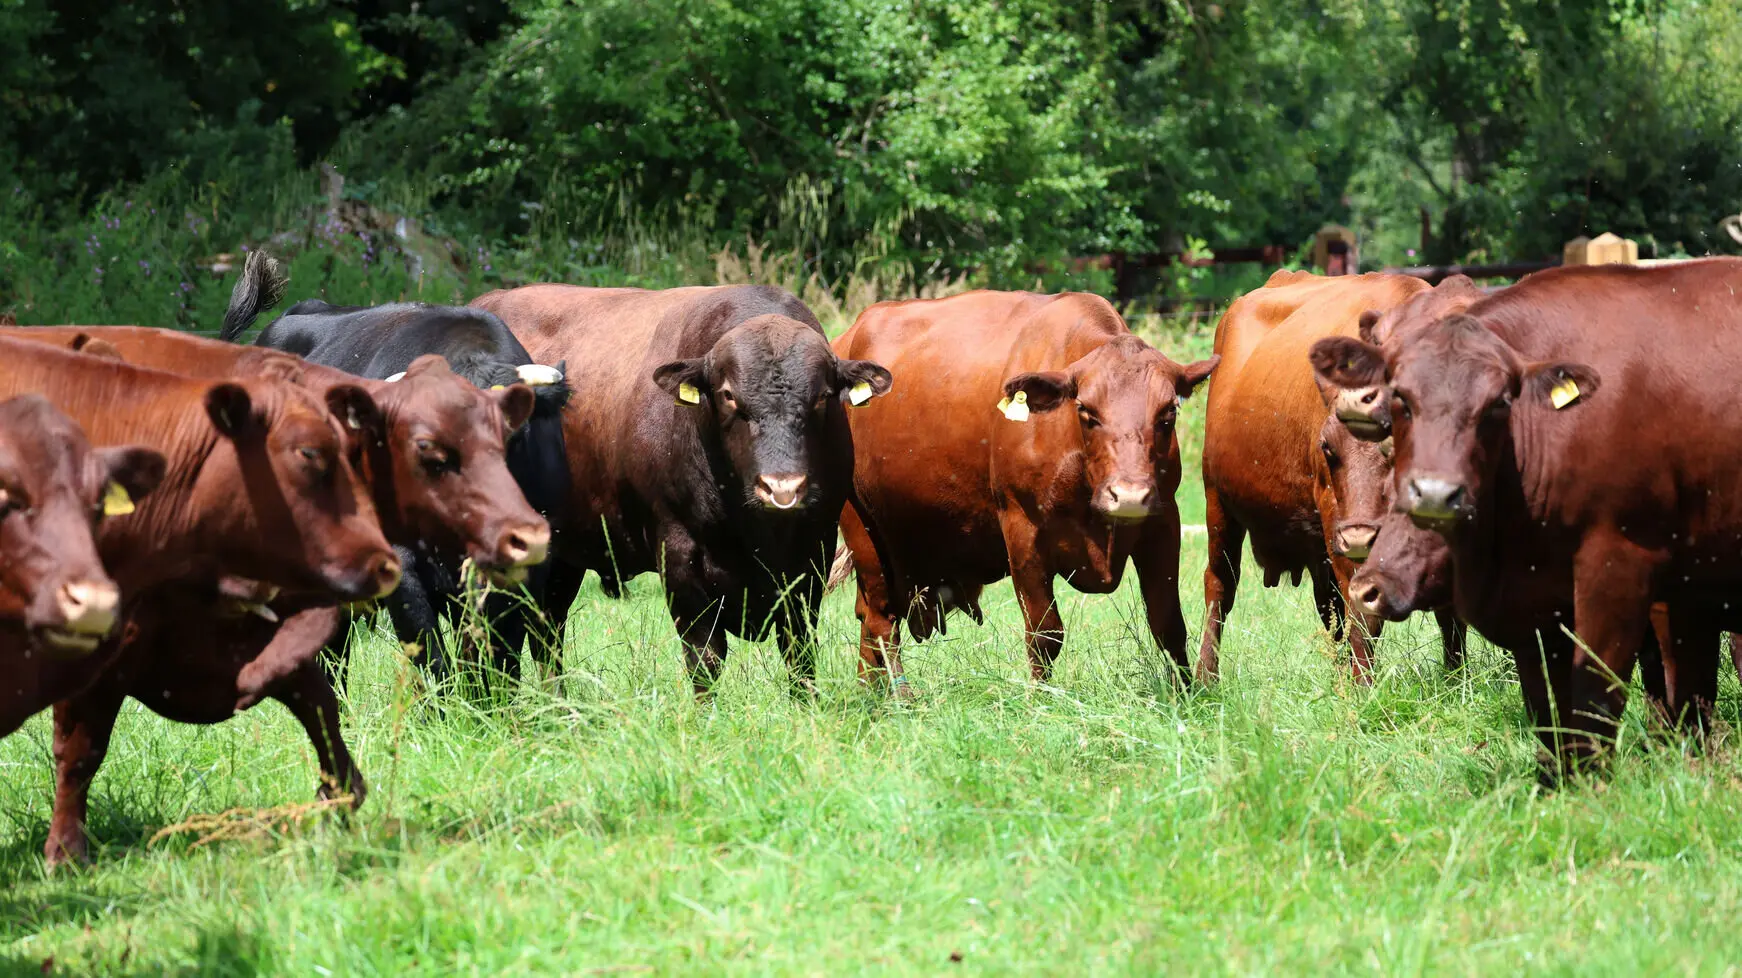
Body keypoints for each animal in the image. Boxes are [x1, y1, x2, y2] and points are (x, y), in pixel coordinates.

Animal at [471, 284, 890, 693]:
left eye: (821, 396)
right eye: (728, 395)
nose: (782, 486)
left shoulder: (813, 554)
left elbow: (798, 650)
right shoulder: (679, 557)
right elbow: (705, 657)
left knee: (546, 629)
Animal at [828, 290, 1217, 685]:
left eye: (1168, 413)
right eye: (1086, 411)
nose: (1129, 496)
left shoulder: (1163, 521)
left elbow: (1168, 623)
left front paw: (1185, 693)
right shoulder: (1022, 530)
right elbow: (1046, 633)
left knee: (869, 621)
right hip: (861, 530)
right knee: (880, 619)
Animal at [1198, 270, 1465, 684]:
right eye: (1327, 447)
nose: (1359, 537)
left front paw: (1457, 679)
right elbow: (1364, 611)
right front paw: (1363, 686)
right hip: (1219, 503)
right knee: (1220, 586)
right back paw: (1205, 677)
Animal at [1312, 258, 1742, 776]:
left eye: (1499, 402)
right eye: (1401, 391)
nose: (1435, 493)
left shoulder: (1623, 572)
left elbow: (1603, 695)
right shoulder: (1537, 605)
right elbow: (1548, 709)